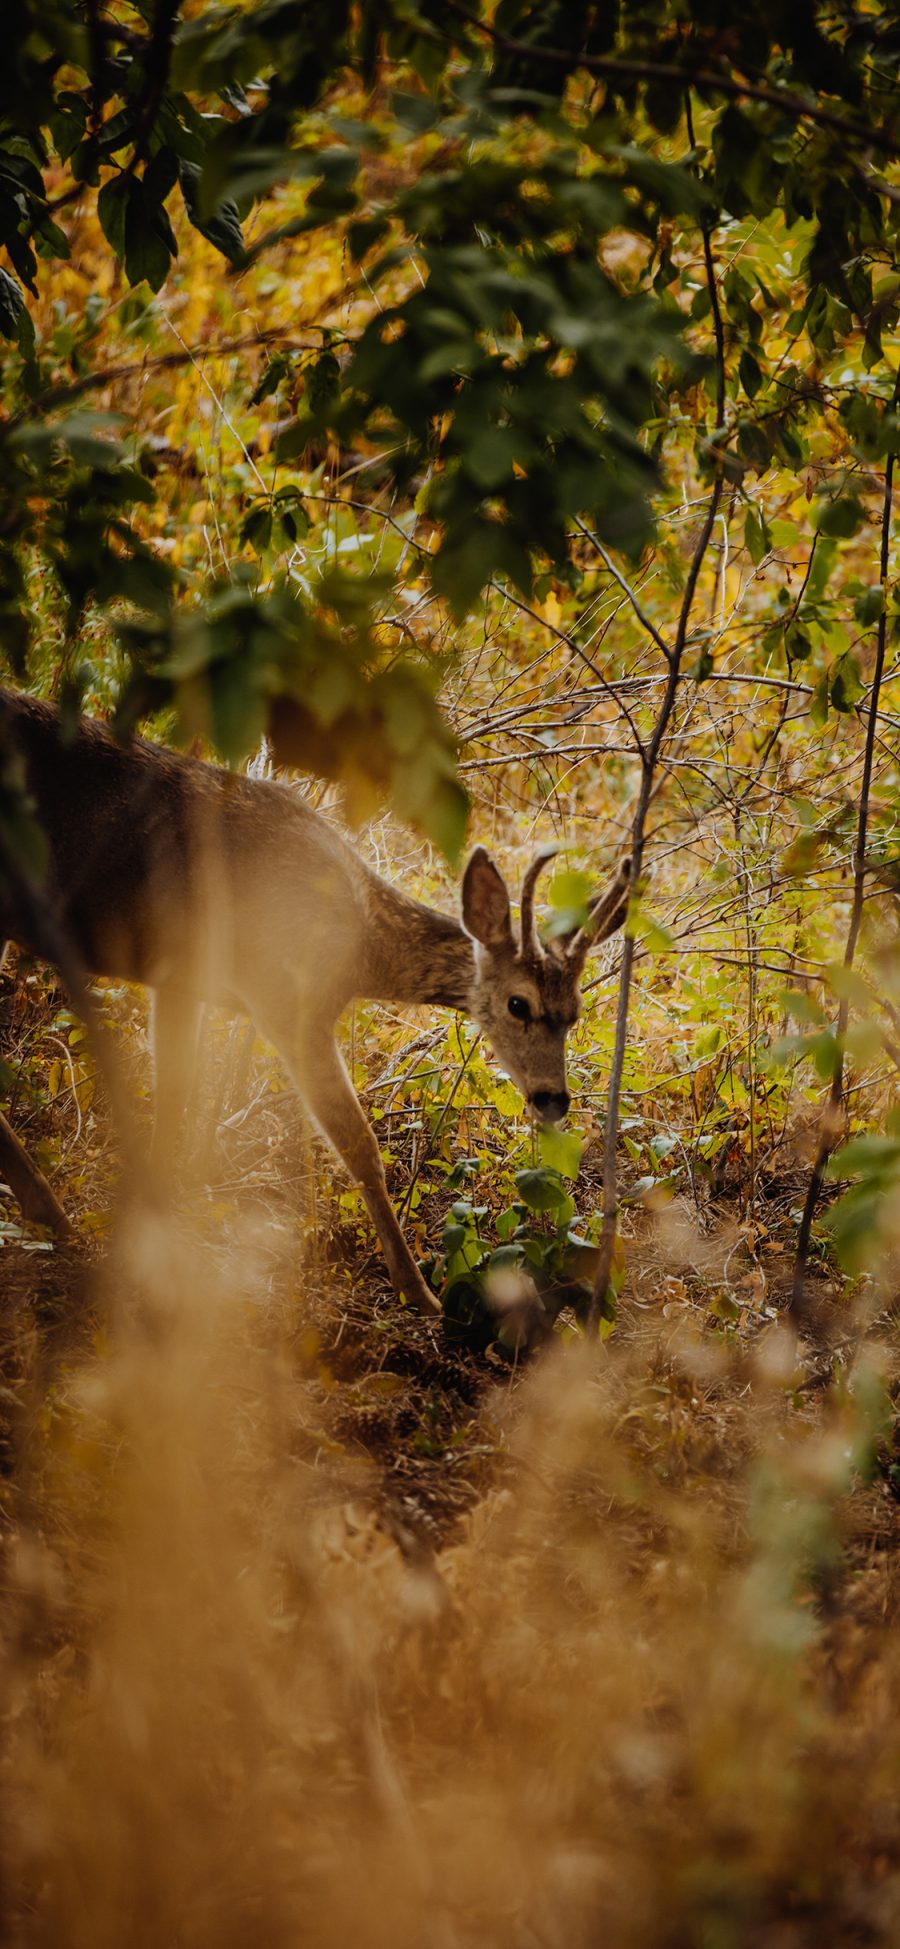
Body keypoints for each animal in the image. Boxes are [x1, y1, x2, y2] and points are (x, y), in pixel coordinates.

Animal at [0, 693, 631, 1317]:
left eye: (575, 1011)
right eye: (518, 1004)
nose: (553, 1098)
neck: (360, 943)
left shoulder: (181, 981)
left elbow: (176, 1100)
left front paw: (154, 1224)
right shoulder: (285, 1001)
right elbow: (358, 1146)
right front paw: (418, 1291)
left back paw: (49, 1214)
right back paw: (51, 1214)